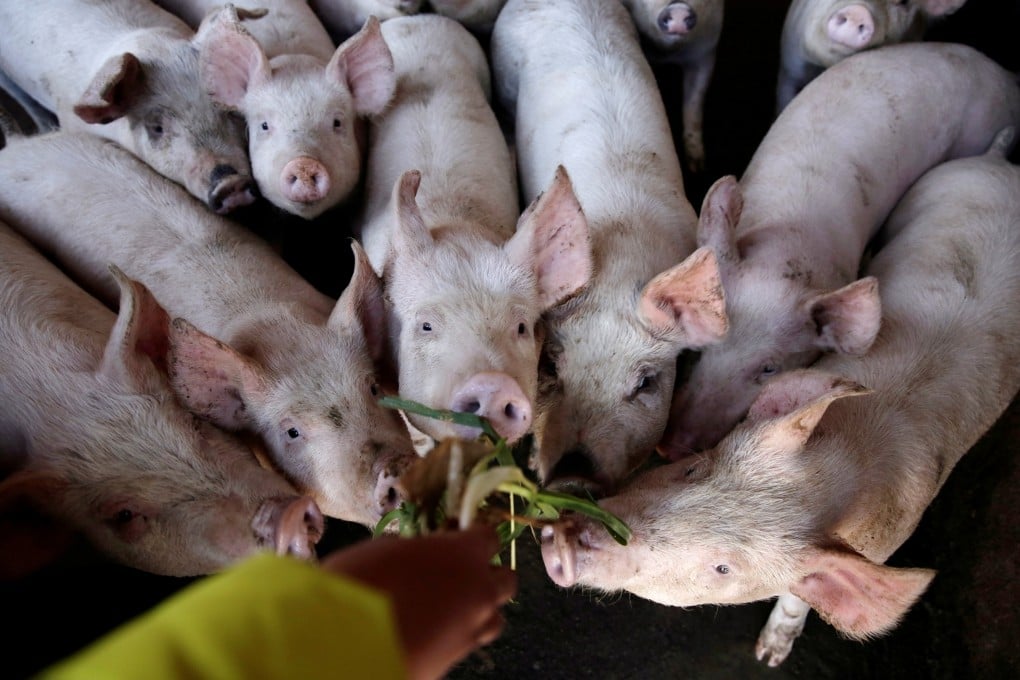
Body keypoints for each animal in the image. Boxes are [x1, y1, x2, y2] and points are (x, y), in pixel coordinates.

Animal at [542, 128, 1020, 666]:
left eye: (723, 569)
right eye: (693, 470)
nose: (563, 543)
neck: (848, 461)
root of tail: (1001, 163)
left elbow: (798, 598)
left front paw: (767, 656)